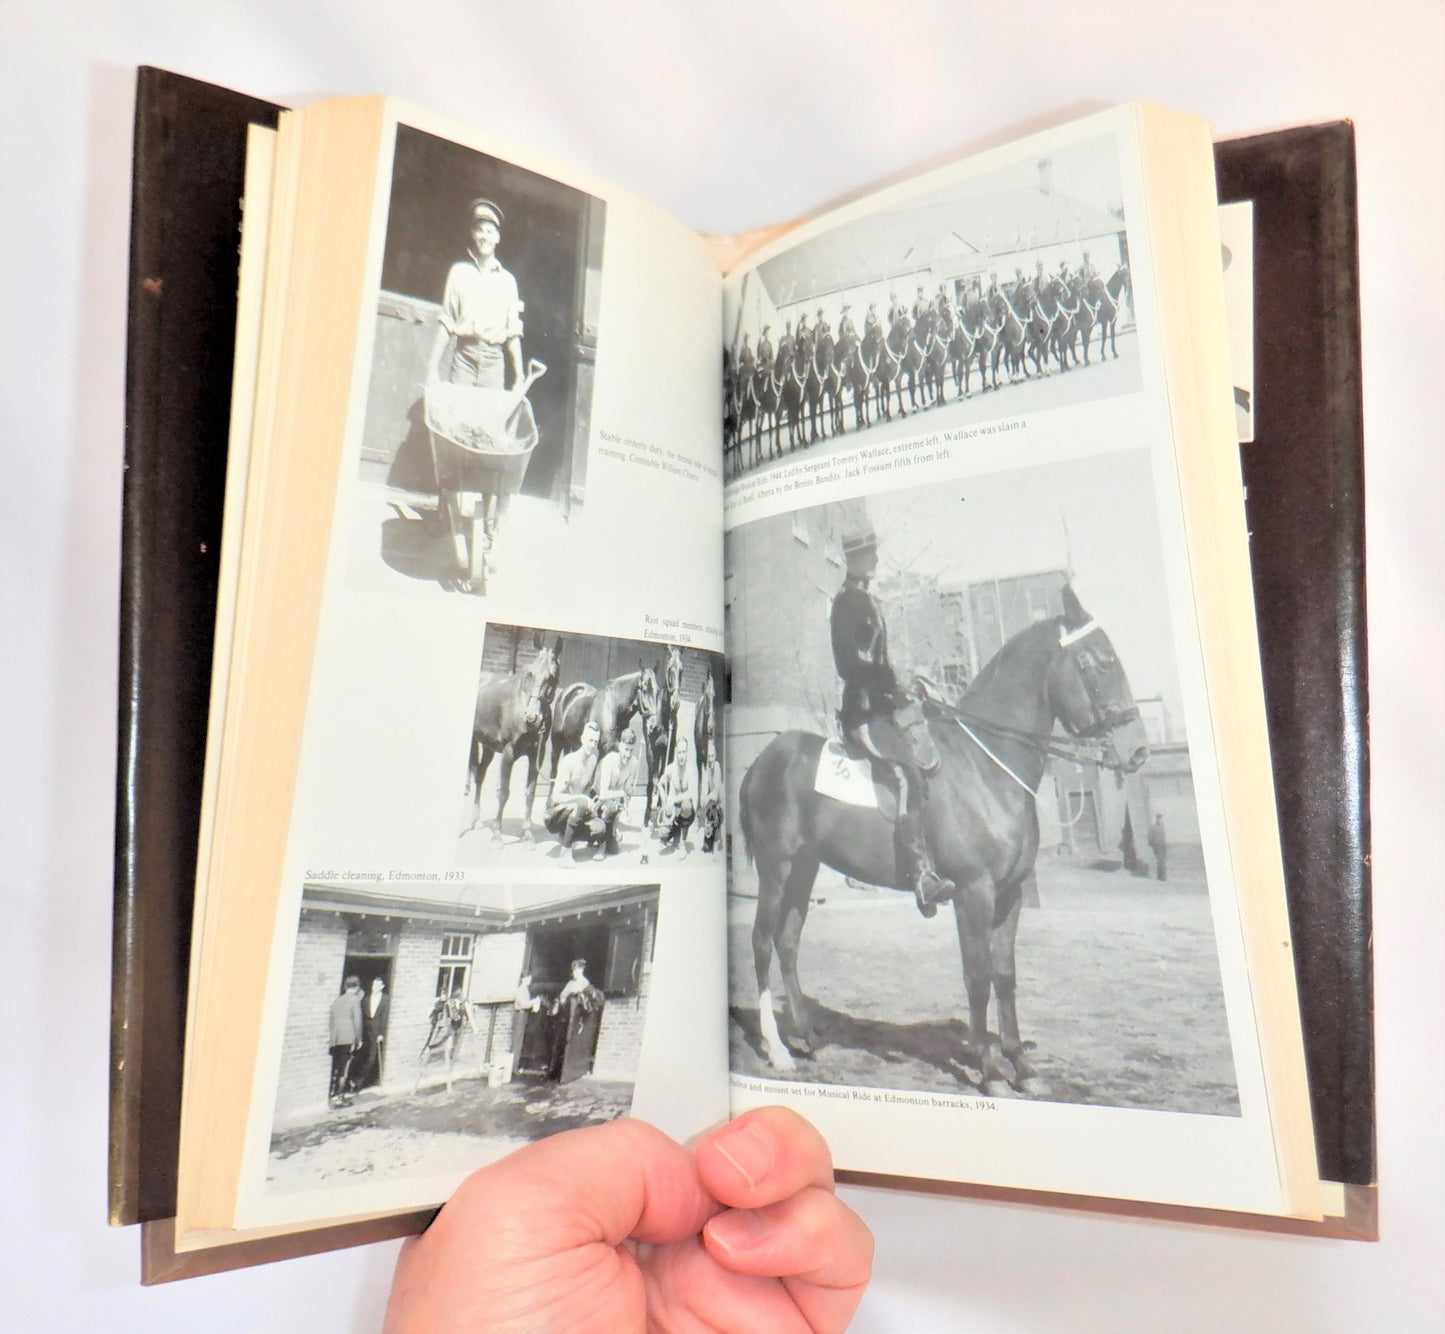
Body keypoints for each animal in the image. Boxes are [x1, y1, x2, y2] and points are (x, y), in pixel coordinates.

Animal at [465, 638, 560, 844]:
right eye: (530, 673)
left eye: (553, 676)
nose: (532, 718)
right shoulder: (508, 753)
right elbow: (503, 792)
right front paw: (497, 836)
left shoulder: (536, 756)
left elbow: (530, 793)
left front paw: (528, 834)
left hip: (489, 747)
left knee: (480, 774)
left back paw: (477, 821)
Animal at [739, 589, 1144, 1092]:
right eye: (1100, 662)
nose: (1138, 750)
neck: (984, 767)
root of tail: (761, 761)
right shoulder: (974, 892)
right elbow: (977, 976)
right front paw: (989, 1071)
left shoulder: (1009, 894)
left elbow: (1004, 975)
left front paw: (1020, 1066)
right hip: (775, 866)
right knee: (761, 941)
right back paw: (777, 1050)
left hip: (805, 868)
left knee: (788, 942)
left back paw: (809, 1038)